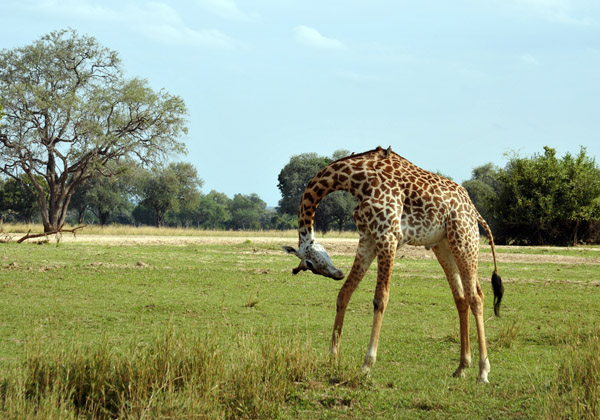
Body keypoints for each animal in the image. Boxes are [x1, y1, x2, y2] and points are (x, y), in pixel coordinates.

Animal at [284, 146, 504, 382]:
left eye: (309, 264)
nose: (336, 274)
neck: (356, 180)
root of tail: (475, 212)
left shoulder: (387, 235)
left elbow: (380, 298)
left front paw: (367, 365)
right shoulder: (368, 237)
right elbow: (344, 293)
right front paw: (332, 357)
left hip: (464, 238)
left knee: (476, 297)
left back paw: (483, 372)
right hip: (444, 245)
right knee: (462, 298)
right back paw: (462, 367)